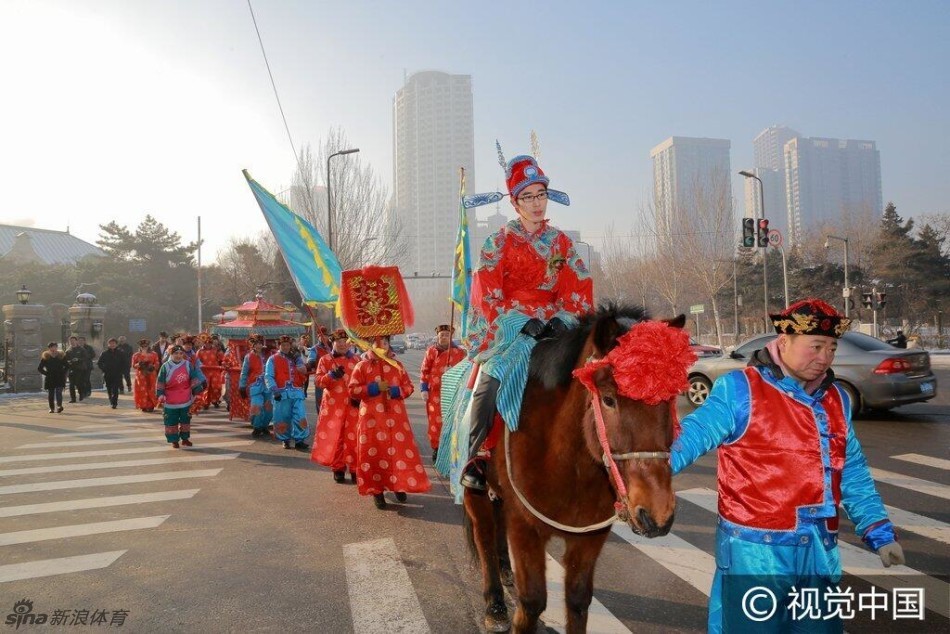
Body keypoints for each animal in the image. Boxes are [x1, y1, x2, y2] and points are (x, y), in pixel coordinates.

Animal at [464, 304, 688, 628]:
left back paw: (506, 571)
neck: (570, 466)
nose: (656, 515)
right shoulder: (525, 529)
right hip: (474, 488)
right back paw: (494, 604)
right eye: (608, 399)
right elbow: (532, 602)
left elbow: (579, 600)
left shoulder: (590, 536)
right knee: (484, 534)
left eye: (669, 398)